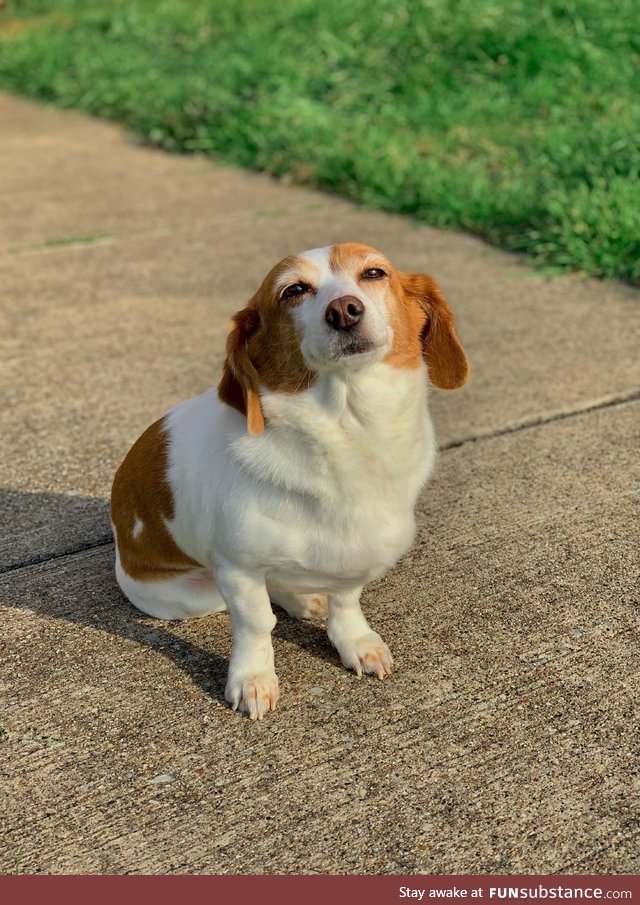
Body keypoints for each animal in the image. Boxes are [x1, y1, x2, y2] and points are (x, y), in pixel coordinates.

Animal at [111, 242, 470, 720]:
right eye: (293, 290)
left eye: (374, 273)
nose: (344, 310)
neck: (347, 426)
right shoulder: (238, 569)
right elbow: (256, 622)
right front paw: (252, 679)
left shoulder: (353, 555)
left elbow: (346, 600)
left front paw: (354, 641)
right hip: (192, 595)